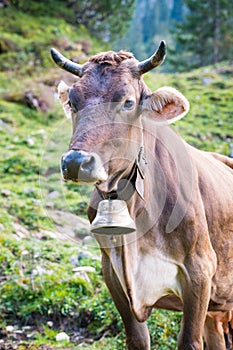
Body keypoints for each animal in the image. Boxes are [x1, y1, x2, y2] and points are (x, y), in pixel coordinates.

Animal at [51, 41, 233, 350]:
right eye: (73, 101)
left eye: (127, 102)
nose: (75, 162)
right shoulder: (112, 273)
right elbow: (137, 338)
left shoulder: (200, 270)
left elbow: (189, 341)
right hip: (216, 312)